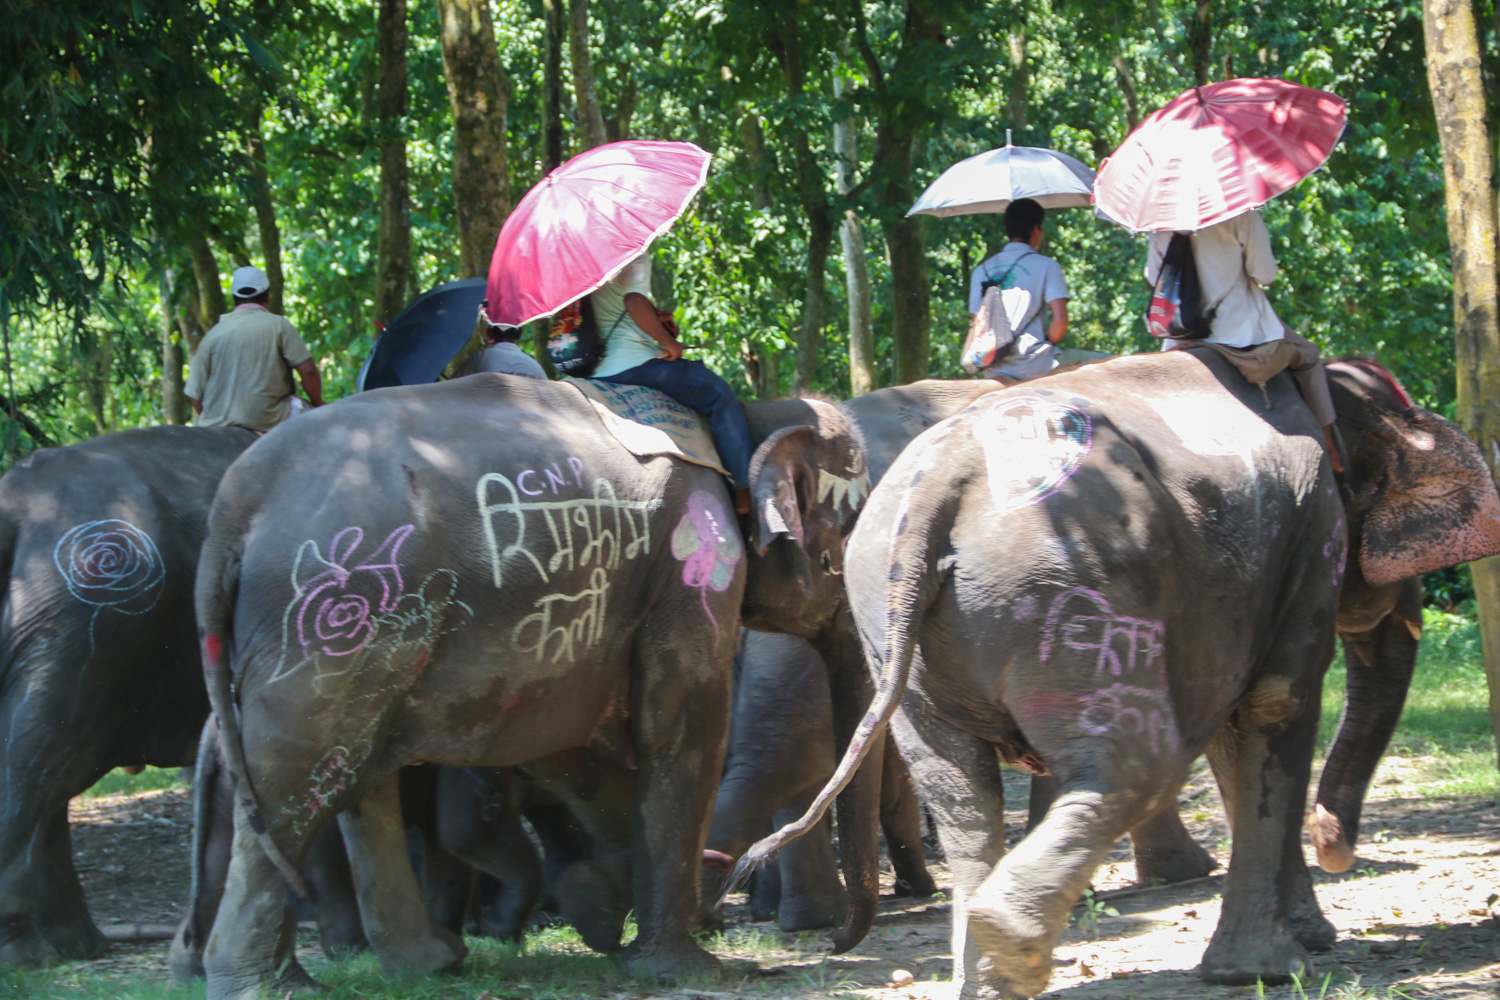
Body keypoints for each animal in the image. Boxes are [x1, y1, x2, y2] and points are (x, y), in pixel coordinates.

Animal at [736, 353, 1500, 999]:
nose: (1335, 848)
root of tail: (940, 486)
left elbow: (1236, 732)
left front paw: (1302, 942)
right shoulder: (1313, 536)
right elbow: (1272, 705)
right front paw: (1273, 967)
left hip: (897, 614)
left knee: (958, 788)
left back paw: (987, 975)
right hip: (1074, 587)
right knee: (1141, 762)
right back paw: (1011, 942)